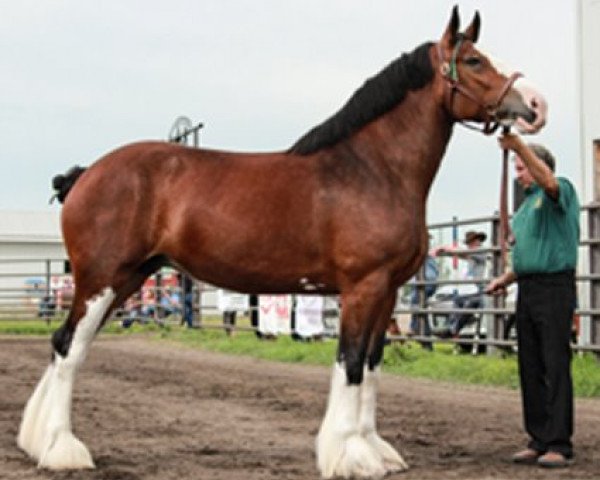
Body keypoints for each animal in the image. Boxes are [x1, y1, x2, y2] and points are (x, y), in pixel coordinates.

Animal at [18, 6, 548, 476]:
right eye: (474, 60)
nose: (536, 105)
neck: (372, 169)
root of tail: (86, 174)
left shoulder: (388, 292)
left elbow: (373, 366)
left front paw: (376, 451)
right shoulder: (363, 287)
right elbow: (351, 364)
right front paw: (350, 456)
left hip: (126, 279)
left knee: (67, 344)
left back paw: (38, 441)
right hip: (102, 279)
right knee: (69, 347)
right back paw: (63, 450)